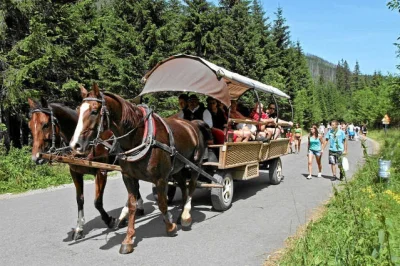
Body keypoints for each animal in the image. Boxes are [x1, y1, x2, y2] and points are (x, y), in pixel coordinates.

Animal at [26, 98, 144, 240]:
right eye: (29, 126)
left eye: (45, 124)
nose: (36, 158)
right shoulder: (75, 173)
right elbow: (79, 200)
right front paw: (79, 228)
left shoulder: (101, 172)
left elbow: (97, 202)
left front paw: (109, 220)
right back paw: (138, 207)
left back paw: (123, 215)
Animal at [70, 84, 211, 255]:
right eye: (78, 110)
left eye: (94, 111)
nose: (75, 145)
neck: (139, 137)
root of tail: (193, 123)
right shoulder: (129, 176)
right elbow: (132, 206)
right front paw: (128, 239)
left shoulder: (161, 179)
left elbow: (162, 203)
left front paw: (170, 226)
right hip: (178, 167)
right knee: (183, 185)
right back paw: (182, 214)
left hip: (195, 163)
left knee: (192, 185)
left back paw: (185, 215)